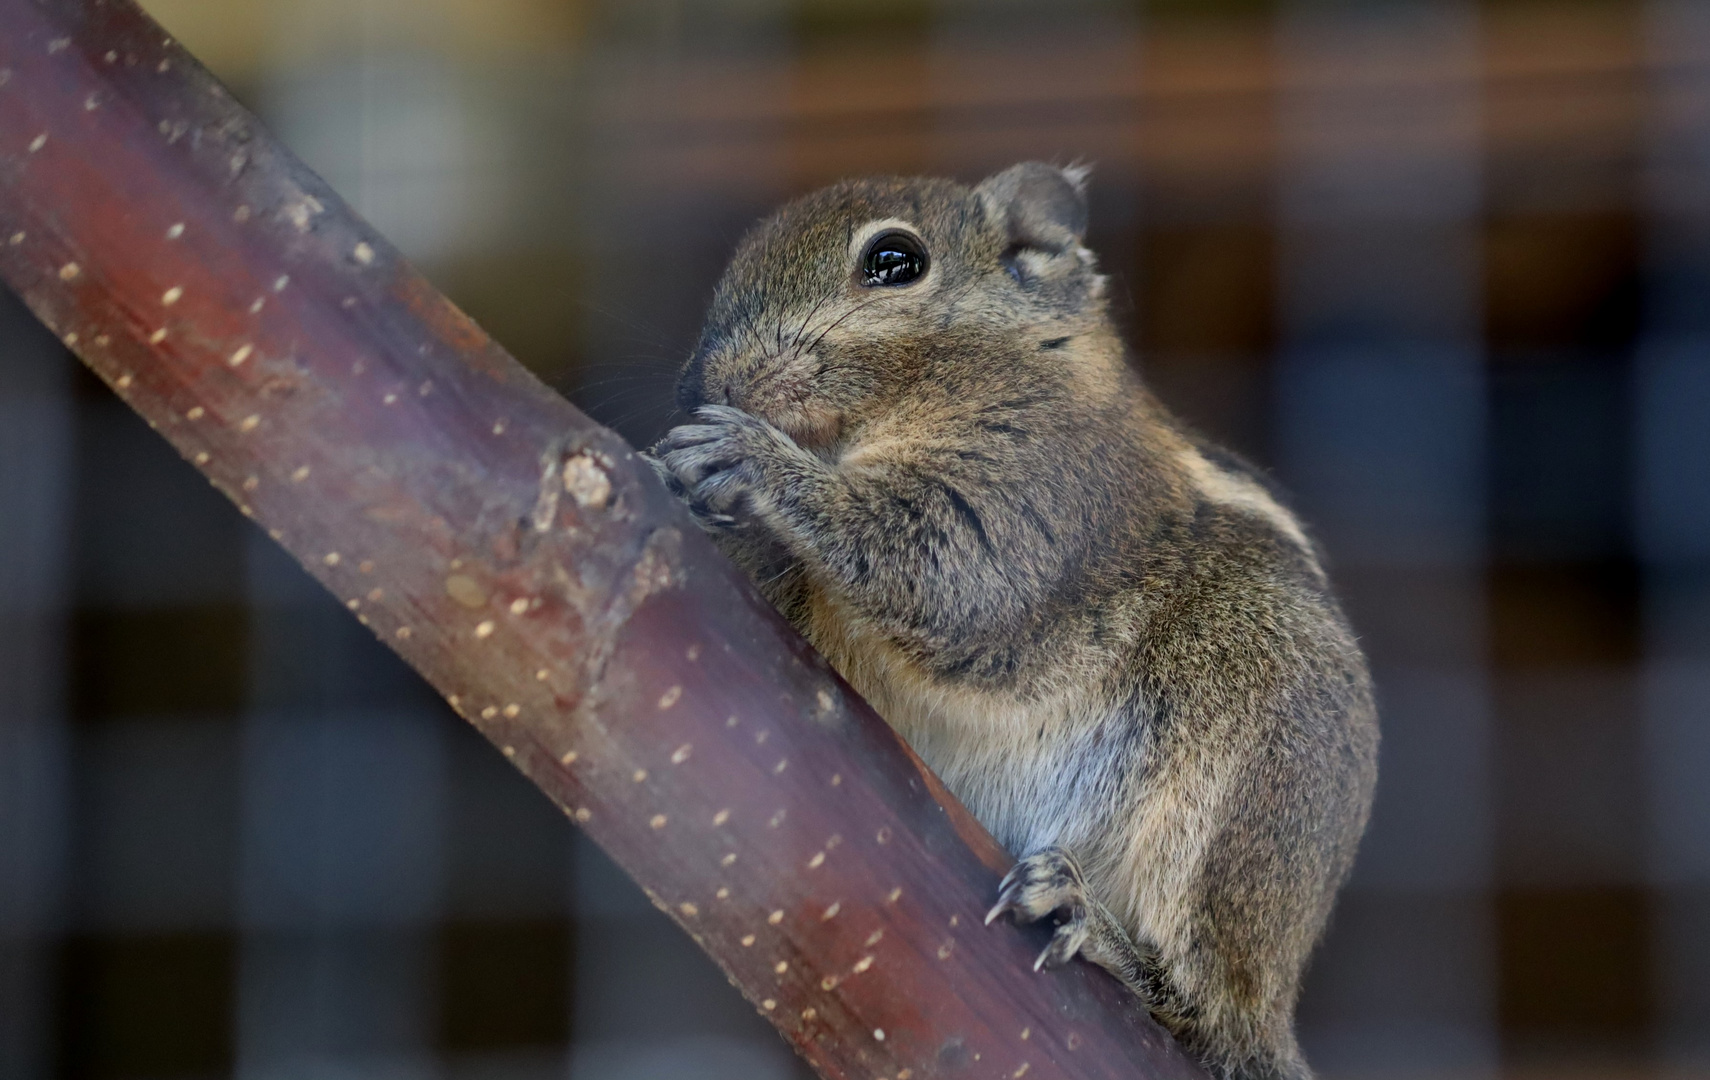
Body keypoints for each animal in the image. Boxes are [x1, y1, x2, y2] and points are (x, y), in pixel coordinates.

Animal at [646, 162, 1381, 1080]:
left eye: (895, 262)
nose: (714, 384)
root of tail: (1275, 1007)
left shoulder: (1045, 493)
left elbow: (955, 570)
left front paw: (751, 460)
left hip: (1249, 760)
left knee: (1206, 1002)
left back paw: (1097, 929)